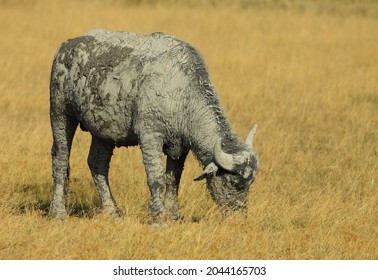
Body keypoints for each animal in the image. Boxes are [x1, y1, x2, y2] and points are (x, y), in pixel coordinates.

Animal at [48, 28, 258, 221]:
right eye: (234, 183)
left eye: (250, 183)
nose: (240, 216)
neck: (181, 93)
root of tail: (65, 47)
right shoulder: (150, 136)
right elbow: (156, 176)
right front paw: (157, 216)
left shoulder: (181, 145)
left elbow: (173, 178)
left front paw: (173, 215)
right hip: (60, 112)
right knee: (61, 159)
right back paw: (58, 212)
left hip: (103, 131)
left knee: (97, 164)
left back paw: (112, 211)